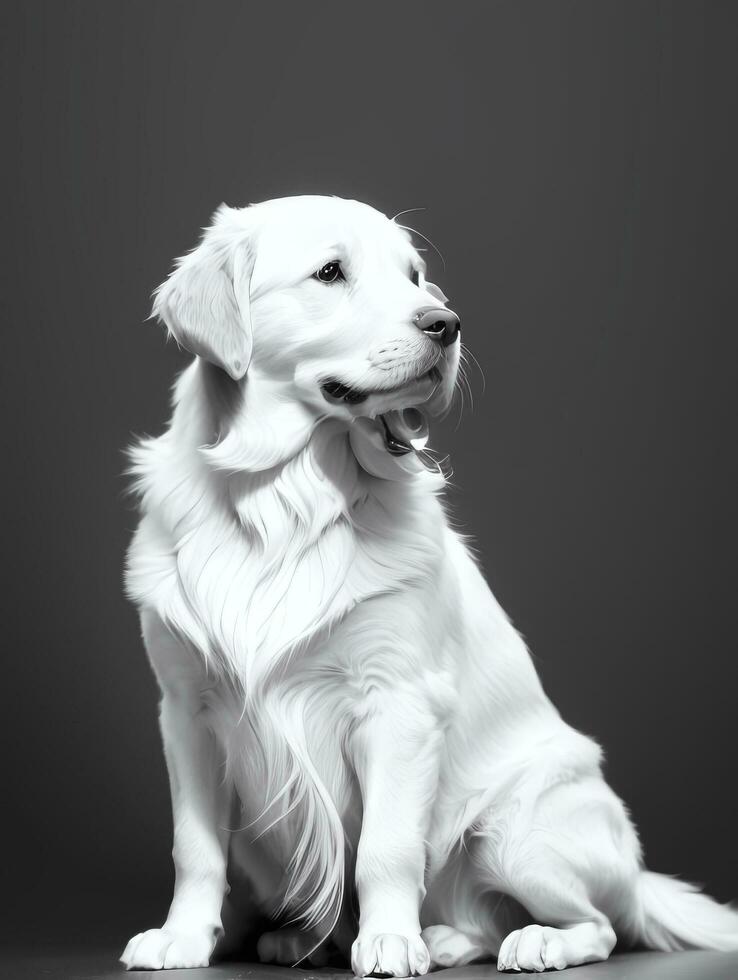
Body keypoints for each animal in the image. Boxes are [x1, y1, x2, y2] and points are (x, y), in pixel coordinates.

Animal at [121, 197, 736, 972]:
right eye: (331, 272)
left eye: (415, 276)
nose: (447, 323)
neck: (282, 497)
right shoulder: (185, 711)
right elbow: (195, 848)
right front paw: (181, 936)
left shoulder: (400, 702)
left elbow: (386, 848)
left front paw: (388, 939)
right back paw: (346, 938)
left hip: (518, 828)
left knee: (597, 925)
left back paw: (525, 941)